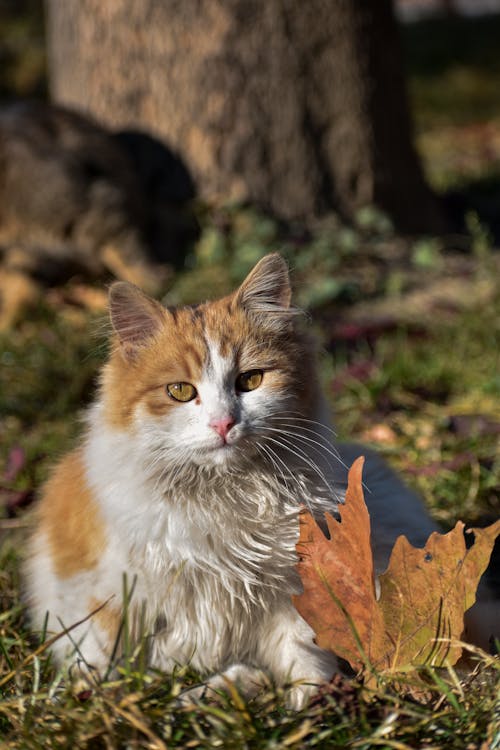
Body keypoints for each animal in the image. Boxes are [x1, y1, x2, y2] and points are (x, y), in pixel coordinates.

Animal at [22, 256, 492, 708]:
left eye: (250, 381)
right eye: (179, 391)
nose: (224, 423)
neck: (224, 494)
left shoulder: (290, 588)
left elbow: (303, 653)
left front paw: (311, 702)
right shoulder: (109, 593)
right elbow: (102, 656)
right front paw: (96, 699)